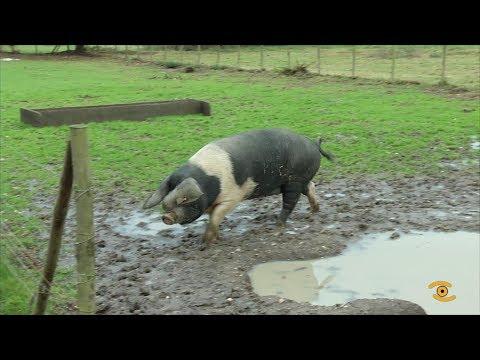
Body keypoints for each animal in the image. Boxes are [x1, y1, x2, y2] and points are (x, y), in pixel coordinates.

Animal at [142, 128, 334, 246]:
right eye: (168, 195)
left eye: (183, 199)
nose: (166, 217)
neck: (210, 182)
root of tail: (314, 144)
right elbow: (213, 218)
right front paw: (217, 238)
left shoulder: (232, 197)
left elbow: (215, 217)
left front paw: (205, 243)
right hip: (299, 180)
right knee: (311, 187)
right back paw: (314, 211)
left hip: (294, 180)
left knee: (290, 202)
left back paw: (278, 226)